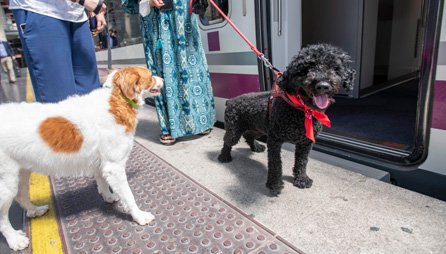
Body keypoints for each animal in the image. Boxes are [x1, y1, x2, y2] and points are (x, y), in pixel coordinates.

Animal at [0, 66, 164, 251]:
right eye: (150, 76)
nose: (163, 79)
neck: (117, 98)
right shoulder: (114, 167)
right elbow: (128, 196)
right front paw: (139, 215)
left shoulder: (102, 164)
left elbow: (102, 183)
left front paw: (108, 197)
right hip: (6, 181)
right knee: (2, 217)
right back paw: (14, 239)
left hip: (21, 172)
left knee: (21, 196)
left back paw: (35, 210)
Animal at [218, 43, 358, 195]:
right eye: (305, 70)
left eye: (335, 68)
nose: (322, 85)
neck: (301, 109)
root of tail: (230, 100)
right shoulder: (274, 140)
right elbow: (275, 163)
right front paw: (275, 184)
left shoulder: (306, 142)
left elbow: (302, 162)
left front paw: (301, 179)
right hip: (234, 129)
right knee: (227, 141)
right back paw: (224, 157)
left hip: (259, 127)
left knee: (248, 135)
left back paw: (256, 147)